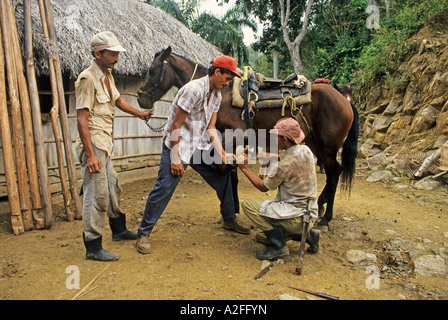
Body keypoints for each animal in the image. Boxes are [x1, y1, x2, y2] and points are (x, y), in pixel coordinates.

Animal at [138, 46, 358, 229]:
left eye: (151, 70)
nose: (141, 98)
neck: (223, 92)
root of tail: (344, 100)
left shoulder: (235, 135)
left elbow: (228, 168)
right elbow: (232, 172)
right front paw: (232, 209)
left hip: (327, 147)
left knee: (334, 172)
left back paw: (325, 217)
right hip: (314, 143)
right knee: (334, 171)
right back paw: (321, 205)